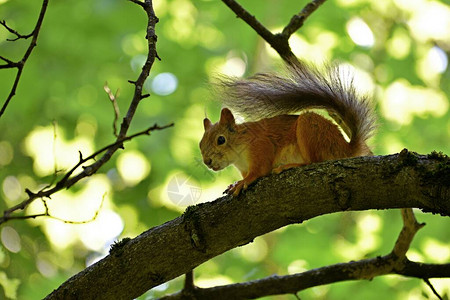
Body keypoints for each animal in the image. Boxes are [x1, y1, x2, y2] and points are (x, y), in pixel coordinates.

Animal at [200, 60, 376, 197]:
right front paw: (235, 182)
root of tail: (345, 148)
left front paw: (243, 182)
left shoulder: (261, 146)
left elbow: (260, 170)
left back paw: (289, 166)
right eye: (200, 145)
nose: (207, 162)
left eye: (221, 139)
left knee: (313, 161)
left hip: (309, 127)